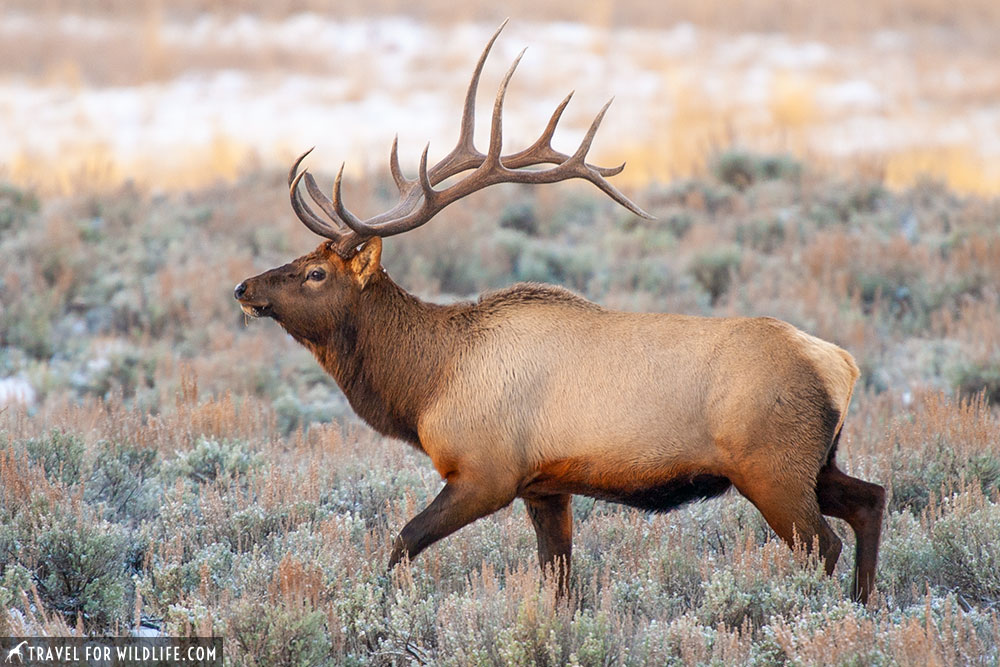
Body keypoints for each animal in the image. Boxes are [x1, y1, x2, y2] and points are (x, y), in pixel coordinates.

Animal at [234, 22, 884, 604]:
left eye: (316, 274)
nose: (244, 287)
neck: (427, 383)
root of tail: (842, 365)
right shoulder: (544, 485)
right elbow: (561, 582)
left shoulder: (486, 472)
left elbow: (400, 542)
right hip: (814, 463)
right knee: (872, 500)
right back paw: (863, 604)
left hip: (773, 470)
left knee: (825, 544)